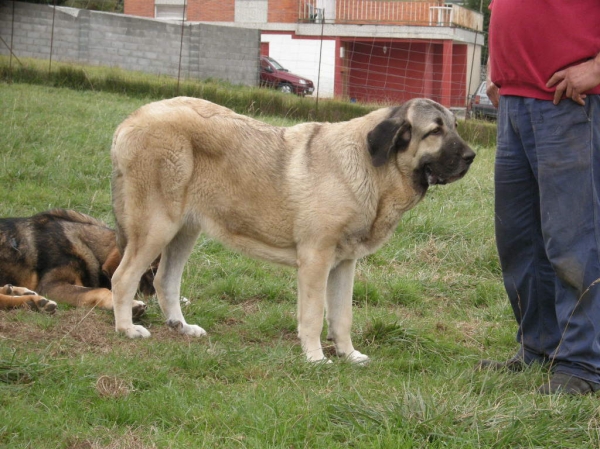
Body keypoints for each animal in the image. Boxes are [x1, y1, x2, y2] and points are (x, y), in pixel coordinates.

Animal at [109, 96, 474, 362]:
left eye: (455, 127)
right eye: (435, 131)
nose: (472, 156)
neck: (372, 168)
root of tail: (132, 119)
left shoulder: (344, 264)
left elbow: (341, 316)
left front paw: (349, 355)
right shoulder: (316, 260)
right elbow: (313, 315)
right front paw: (315, 358)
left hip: (184, 230)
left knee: (164, 279)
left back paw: (181, 327)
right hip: (157, 225)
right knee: (123, 278)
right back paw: (127, 329)